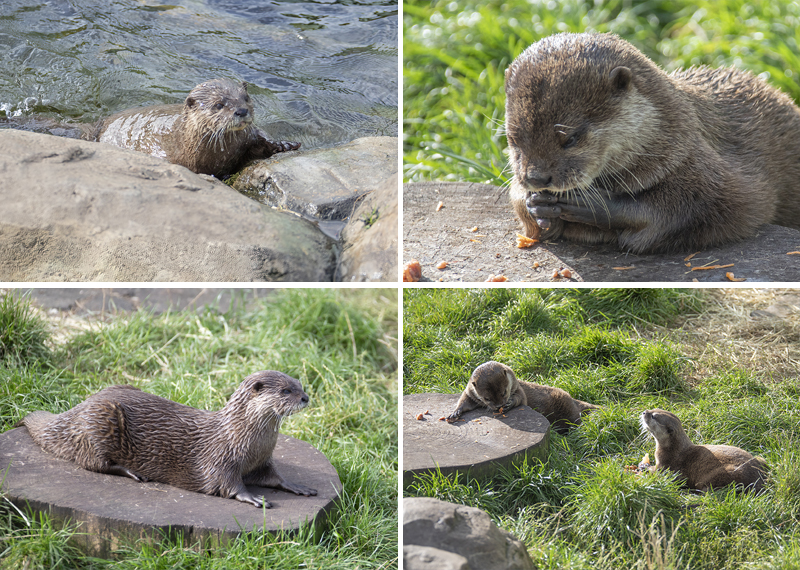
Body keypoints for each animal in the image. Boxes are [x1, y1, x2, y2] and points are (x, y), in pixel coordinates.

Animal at [16, 371, 317, 508]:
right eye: (286, 390)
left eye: (300, 385)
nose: (305, 397)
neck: (244, 436)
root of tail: (76, 409)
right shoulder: (221, 459)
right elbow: (228, 484)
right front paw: (252, 497)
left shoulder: (262, 460)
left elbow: (274, 476)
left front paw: (297, 486)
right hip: (100, 421)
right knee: (93, 462)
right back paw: (133, 472)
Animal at [446, 361, 599, 434]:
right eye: (487, 398)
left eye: (504, 392)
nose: (499, 406)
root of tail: (573, 399)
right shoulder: (470, 393)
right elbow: (464, 402)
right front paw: (455, 413)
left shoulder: (519, 389)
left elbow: (521, 399)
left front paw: (510, 404)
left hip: (566, 406)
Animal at [505, 32, 800, 254]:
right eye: (514, 138)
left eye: (570, 138)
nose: (536, 178)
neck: (673, 134)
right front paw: (534, 204)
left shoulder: (707, 168)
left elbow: (711, 204)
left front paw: (595, 206)